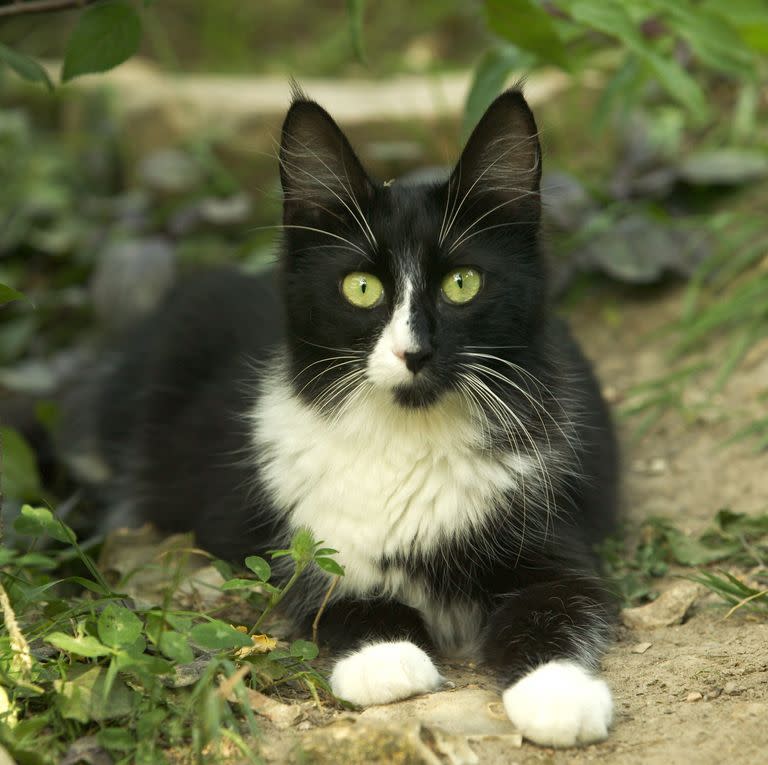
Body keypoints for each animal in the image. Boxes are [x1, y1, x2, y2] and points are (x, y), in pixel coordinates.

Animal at [66, 88, 620, 748]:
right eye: (360, 288)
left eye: (463, 283)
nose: (414, 353)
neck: (408, 439)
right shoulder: (303, 536)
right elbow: (337, 595)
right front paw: (386, 659)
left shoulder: (550, 524)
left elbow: (556, 603)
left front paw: (558, 694)